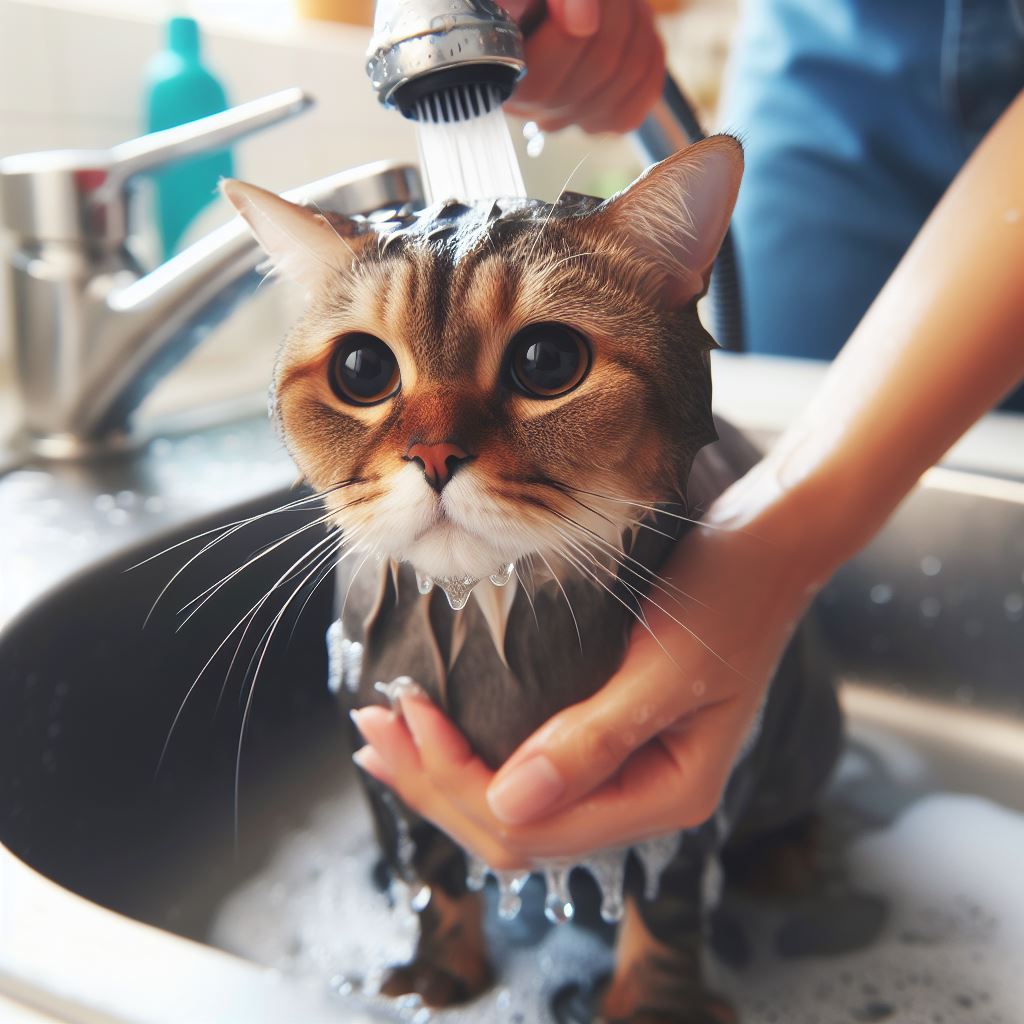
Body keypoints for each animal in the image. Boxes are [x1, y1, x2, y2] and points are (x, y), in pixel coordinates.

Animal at [224, 136, 839, 1024]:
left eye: (547, 362)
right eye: (362, 368)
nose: (434, 454)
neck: (490, 627)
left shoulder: (692, 803)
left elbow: (667, 910)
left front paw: (654, 1006)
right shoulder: (380, 747)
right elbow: (432, 878)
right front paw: (436, 969)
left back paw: (789, 851)